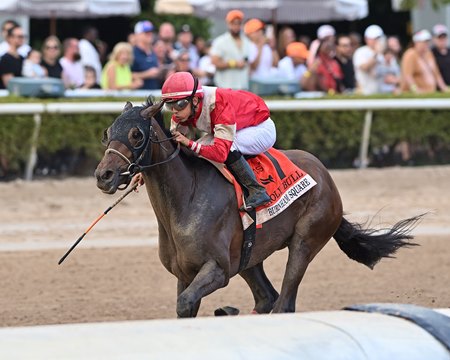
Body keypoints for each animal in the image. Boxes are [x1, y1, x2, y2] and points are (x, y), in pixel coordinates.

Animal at [94, 97, 422, 318]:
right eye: (107, 132)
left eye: (136, 134)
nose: (104, 175)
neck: (186, 200)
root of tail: (326, 176)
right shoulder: (185, 274)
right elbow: (185, 306)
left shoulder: (218, 269)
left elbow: (185, 302)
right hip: (249, 257)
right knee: (267, 298)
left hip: (305, 240)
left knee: (284, 302)